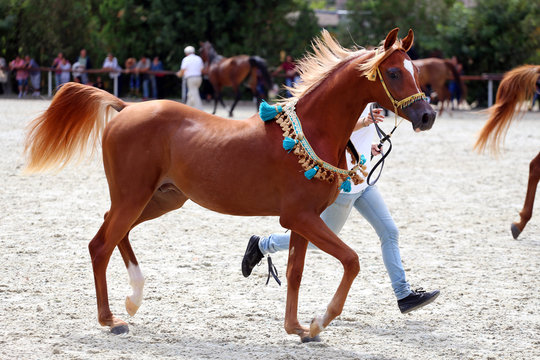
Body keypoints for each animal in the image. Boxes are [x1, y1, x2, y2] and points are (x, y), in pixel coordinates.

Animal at [24, 29, 434, 342]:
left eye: (415, 70)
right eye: (393, 73)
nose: (427, 115)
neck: (311, 132)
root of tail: (126, 107)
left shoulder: (302, 221)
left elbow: (294, 273)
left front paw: (297, 328)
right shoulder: (300, 217)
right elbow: (351, 260)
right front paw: (319, 322)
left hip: (160, 199)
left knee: (112, 233)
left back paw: (133, 299)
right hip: (135, 197)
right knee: (101, 245)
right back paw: (112, 320)